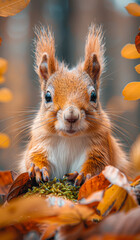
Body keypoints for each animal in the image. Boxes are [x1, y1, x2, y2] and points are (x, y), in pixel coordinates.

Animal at [19, 24, 131, 186]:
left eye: (93, 96)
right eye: (47, 96)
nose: (71, 116)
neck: (69, 139)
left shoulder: (101, 146)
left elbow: (100, 164)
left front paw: (84, 174)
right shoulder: (39, 142)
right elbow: (32, 157)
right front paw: (38, 169)